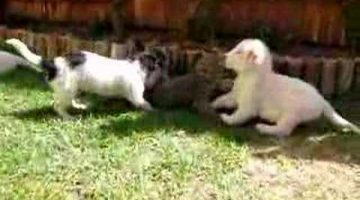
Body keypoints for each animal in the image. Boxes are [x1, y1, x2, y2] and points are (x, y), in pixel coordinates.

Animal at [5, 38, 159, 118]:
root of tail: (55, 63)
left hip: (72, 89)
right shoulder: (137, 96)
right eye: (157, 62)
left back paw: (80, 106)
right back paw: (68, 117)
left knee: (67, 102)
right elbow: (146, 104)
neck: (137, 65)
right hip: (67, 90)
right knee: (57, 107)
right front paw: (154, 111)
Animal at [212, 38, 358, 136]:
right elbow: (222, 98)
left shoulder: (248, 107)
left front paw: (226, 118)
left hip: (291, 113)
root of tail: (322, 101)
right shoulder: (234, 96)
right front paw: (212, 104)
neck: (246, 77)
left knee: (284, 130)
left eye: (238, 52)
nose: (224, 56)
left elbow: (237, 117)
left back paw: (263, 127)